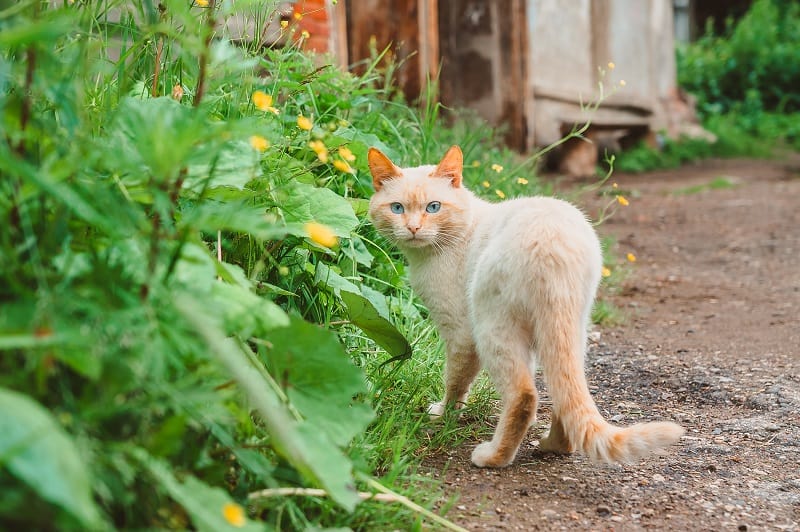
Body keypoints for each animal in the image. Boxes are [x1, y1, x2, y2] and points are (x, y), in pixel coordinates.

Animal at [366, 144, 684, 466]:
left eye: (433, 207)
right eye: (397, 208)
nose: (413, 228)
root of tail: (554, 247)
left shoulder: (459, 332)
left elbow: (455, 382)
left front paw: (443, 415)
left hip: (491, 325)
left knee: (524, 396)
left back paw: (493, 457)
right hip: (570, 329)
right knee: (563, 390)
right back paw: (554, 446)